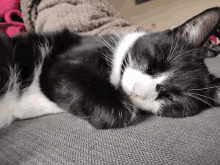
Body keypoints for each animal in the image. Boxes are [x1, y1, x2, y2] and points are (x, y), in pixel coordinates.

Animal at [0, 7, 220, 129]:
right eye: (157, 60)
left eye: (172, 97)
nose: (137, 92)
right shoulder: (65, 58)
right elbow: (64, 70)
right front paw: (112, 108)